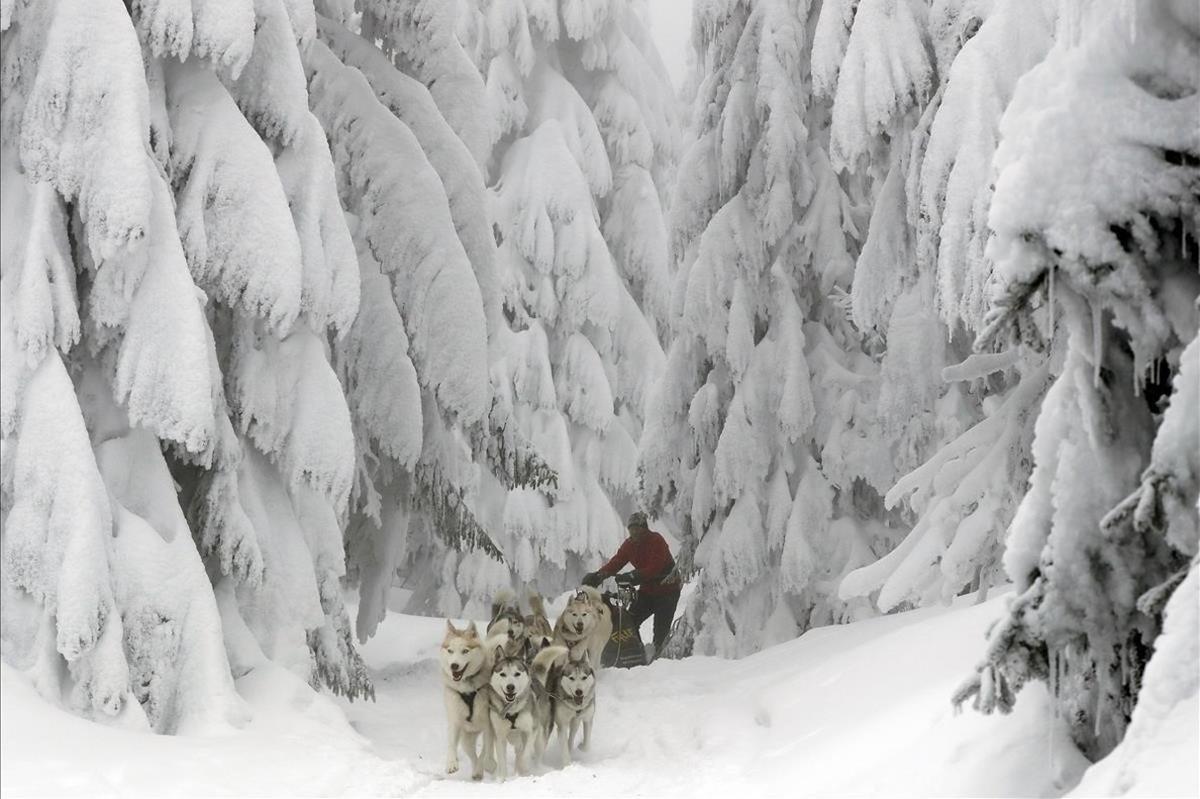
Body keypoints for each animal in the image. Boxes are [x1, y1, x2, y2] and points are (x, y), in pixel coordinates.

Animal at [439, 614, 494, 777]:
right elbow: (451, 743)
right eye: (450, 651)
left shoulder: (489, 724)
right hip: (467, 736)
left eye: (465, 651)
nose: (454, 666)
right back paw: (476, 771)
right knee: (470, 753)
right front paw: (451, 763)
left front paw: (488, 763)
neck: (467, 689)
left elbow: (486, 749)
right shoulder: (455, 720)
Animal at [484, 643, 564, 777]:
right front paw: (503, 779)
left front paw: (523, 767)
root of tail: (535, 679)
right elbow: (502, 762)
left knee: (535, 754)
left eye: (517, 673)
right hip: (516, 739)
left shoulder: (531, 730)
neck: (511, 710)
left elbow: (525, 754)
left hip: (540, 737)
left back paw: (535, 769)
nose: (510, 687)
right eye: (502, 674)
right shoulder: (500, 736)